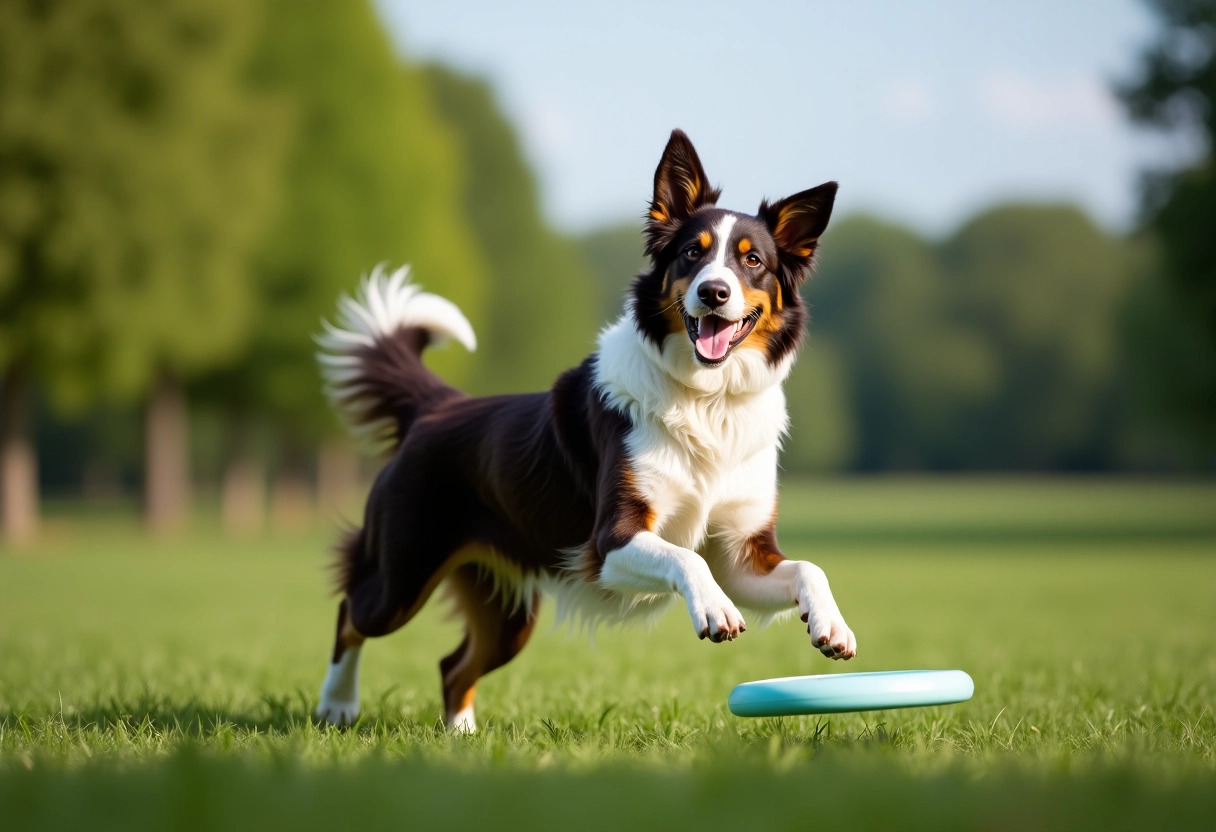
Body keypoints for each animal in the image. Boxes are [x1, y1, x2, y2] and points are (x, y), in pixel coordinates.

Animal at [313, 126, 856, 729]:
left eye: (753, 260)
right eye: (692, 253)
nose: (713, 293)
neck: (706, 399)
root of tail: (437, 406)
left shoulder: (741, 554)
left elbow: (809, 567)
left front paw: (832, 625)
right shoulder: (610, 541)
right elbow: (686, 557)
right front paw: (715, 609)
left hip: (505, 612)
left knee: (453, 665)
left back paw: (461, 737)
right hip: (402, 572)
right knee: (351, 613)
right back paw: (337, 704)